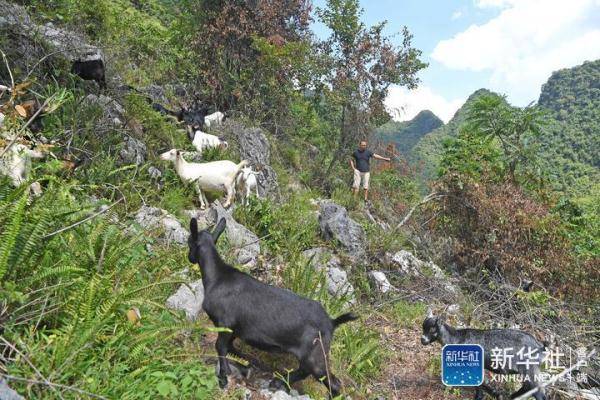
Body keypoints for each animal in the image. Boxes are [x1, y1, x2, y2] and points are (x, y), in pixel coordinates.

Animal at [188, 219, 356, 396]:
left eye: (189, 242)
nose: (190, 258)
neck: (217, 277)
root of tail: (332, 322)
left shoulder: (225, 323)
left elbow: (220, 347)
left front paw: (223, 377)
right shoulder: (236, 329)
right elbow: (231, 348)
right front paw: (245, 366)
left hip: (316, 354)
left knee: (330, 381)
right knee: (307, 372)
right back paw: (277, 382)